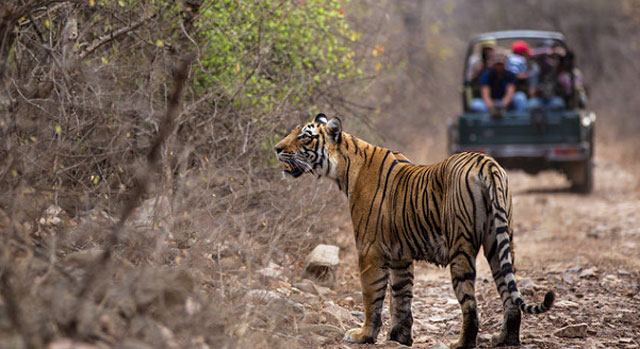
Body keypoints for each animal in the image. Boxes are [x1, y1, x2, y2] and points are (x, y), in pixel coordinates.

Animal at [276, 113, 556, 346]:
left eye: (304, 136)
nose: (277, 148)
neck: (344, 168)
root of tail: (486, 162)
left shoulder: (370, 250)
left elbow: (372, 296)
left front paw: (364, 335)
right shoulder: (400, 255)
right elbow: (401, 298)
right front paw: (399, 337)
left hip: (460, 246)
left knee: (470, 303)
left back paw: (461, 343)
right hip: (499, 243)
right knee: (509, 296)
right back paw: (505, 340)